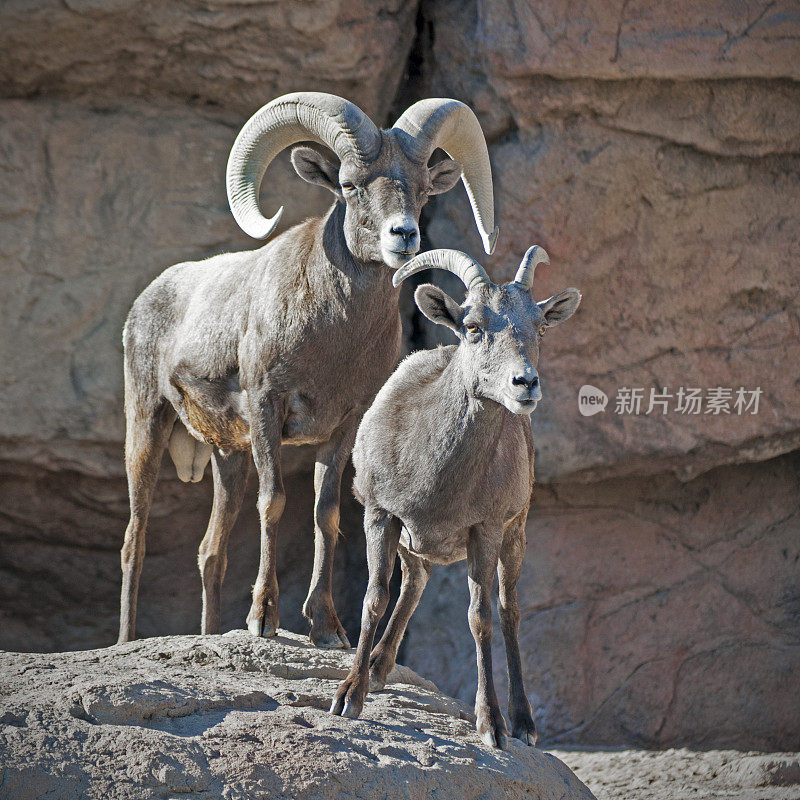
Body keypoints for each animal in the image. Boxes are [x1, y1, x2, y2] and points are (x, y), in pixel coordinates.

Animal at [117, 92, 500, 648]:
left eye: (423, 189)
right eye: (350, 184)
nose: (403, 236)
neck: (334, 338)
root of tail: (147, 299)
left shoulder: (343, 426)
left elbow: (326, 513)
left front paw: (326, 627)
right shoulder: (266, 408)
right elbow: (274, 503)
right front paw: (263, 618)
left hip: (227, 457)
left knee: (211, 552)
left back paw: (210, 633)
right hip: (147, 425)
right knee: (135, 539)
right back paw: (125, 640)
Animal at [332, 247, 580, 748]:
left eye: (540, 327)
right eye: (473, 326)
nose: (525, 383)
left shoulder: (484, 529)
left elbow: (480, 617)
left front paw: (492, 726)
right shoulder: (380, 515)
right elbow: (373, 599)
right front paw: (349, 696)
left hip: (515, 534)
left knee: (508, 610)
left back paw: (523, 723)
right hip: (413, 545)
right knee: (414, 583)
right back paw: (378, 669)